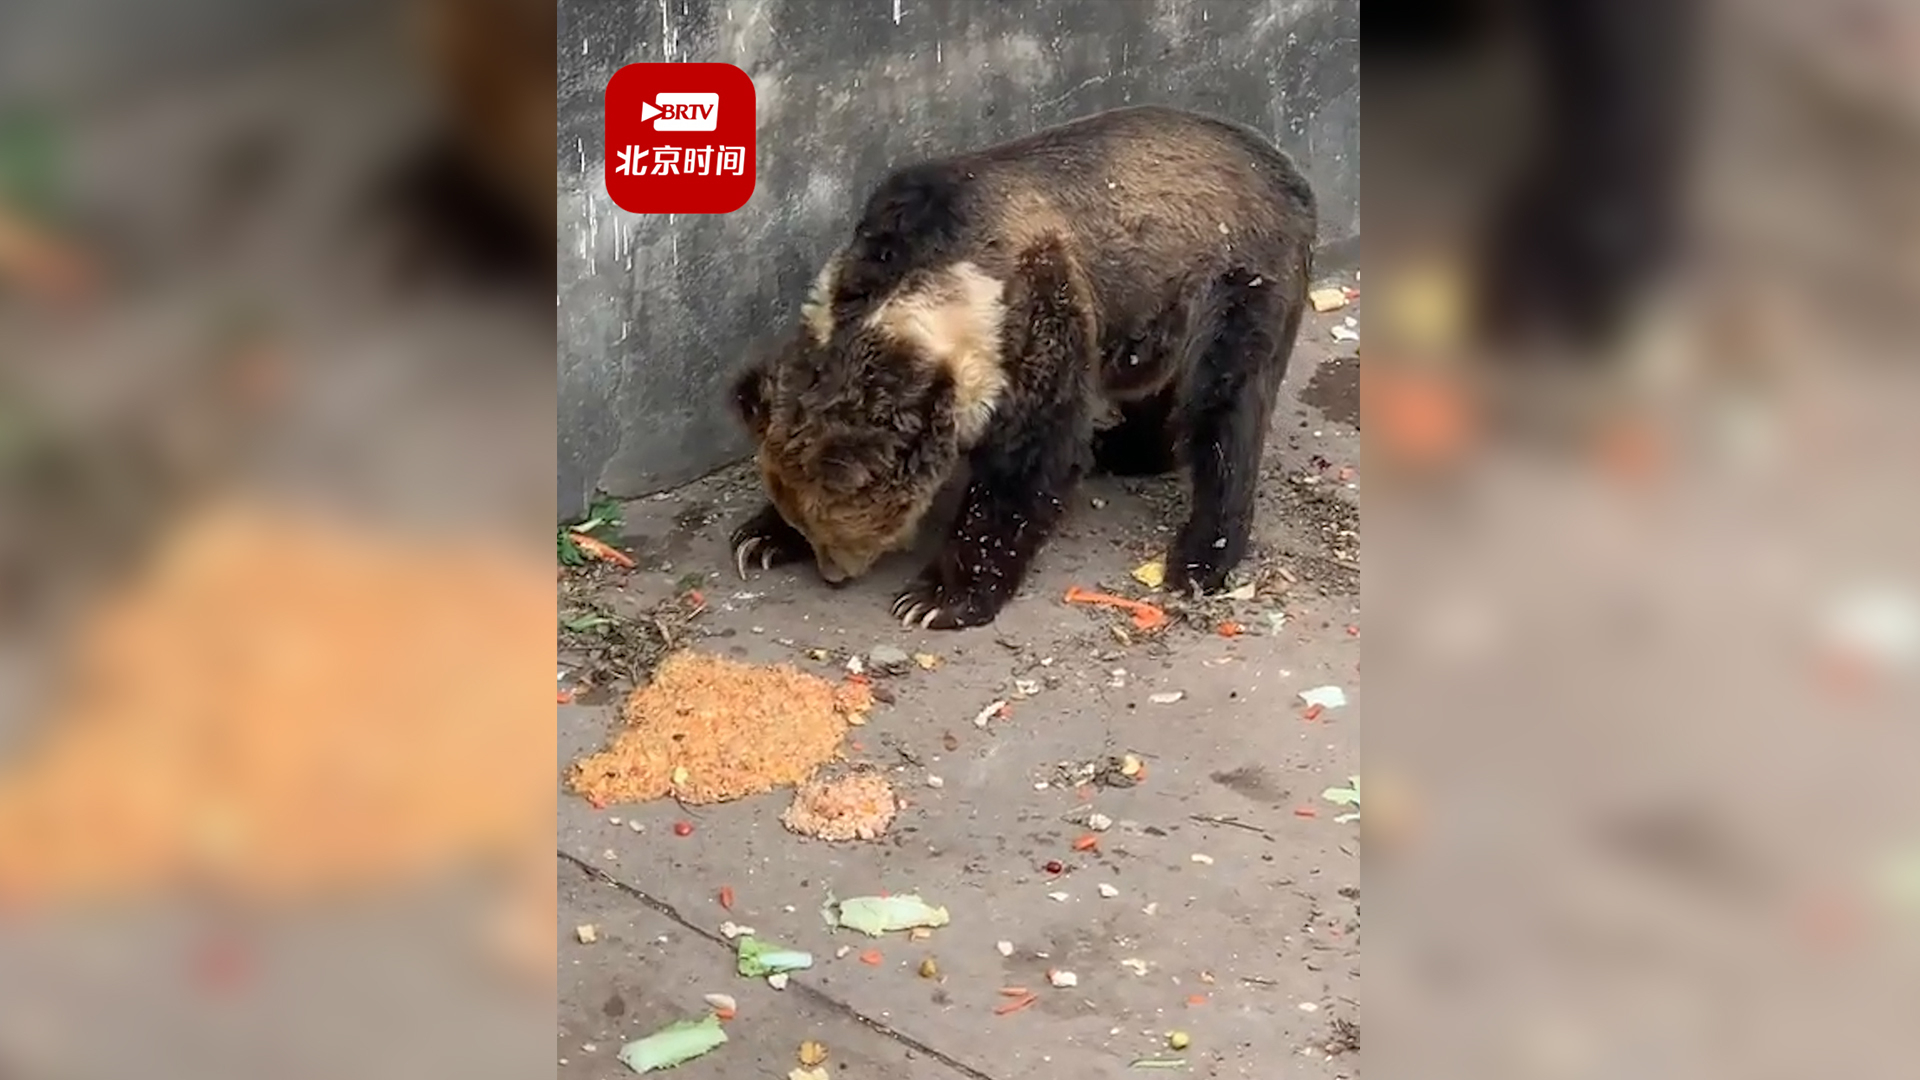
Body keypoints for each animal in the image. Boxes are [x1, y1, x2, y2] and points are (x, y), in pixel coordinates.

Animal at [728, 104, 1317, 630]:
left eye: (840, 529)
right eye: (808, 520)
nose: (832, 572)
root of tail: (1286, 167)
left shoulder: (1036, 315)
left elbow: (1029, 462)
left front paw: (937, 597)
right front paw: (758, 539)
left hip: (1238, 283)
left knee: (1226, 413)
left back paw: (1199, 557)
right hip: (1153, 308)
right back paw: (1124, 447)